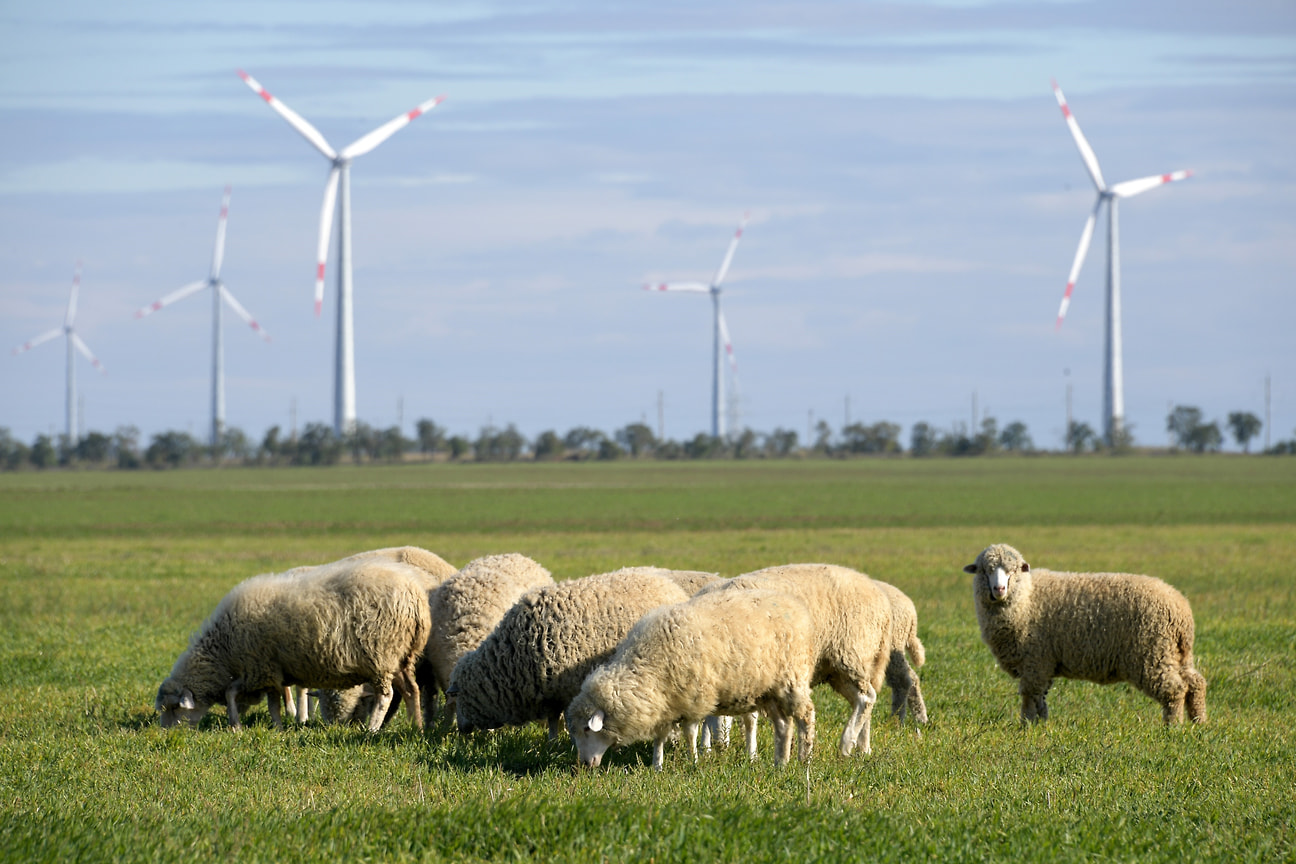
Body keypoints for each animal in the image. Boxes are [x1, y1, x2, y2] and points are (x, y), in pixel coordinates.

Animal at [156, 557, 430, 735]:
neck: (223, 650)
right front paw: (277, 728)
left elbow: (233, 693)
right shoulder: (268, 671)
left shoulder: (258, 668)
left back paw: (372, 729)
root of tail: (416, 595)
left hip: (381, 657)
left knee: (386, 696)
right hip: (401, 658)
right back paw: (416, 726)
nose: (164, 733)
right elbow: (273, 703)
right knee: (411, 690)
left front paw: (236, 726)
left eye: (173, 708)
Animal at [448, 569, 694, 740]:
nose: (461, 730)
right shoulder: (551, 693)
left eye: (458, 696)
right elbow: (552, 720)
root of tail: (670, 586)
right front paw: (552, 742)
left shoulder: (567, 687)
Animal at [570, 588, 819, 772]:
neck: (647, 664)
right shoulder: (665, 704)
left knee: (806, 716)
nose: (585, 764)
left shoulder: (694, 699)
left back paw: (804, 759)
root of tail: (795, 605)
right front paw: (657, 765)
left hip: (793, 679)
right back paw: (781, 763)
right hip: (770, 691)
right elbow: (660, 736)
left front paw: (693, 762)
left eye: (587, 729)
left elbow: (690, 733)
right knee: (783, 724)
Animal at [964, 546, 1202, 725]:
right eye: (985, 571)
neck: (1027, 599)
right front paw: (1041, 725)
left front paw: (1026, 725)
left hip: (1151, 653)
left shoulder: (1035, 661)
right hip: (1176, 652)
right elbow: (1041, 699)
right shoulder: (1044, 664)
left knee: (1175, 689)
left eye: (1012, 571)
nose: (999, 589)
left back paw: (1173, 726)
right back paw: (1198, 722)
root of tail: (1181, 609)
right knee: (1195, 682)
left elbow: (1029, 697)